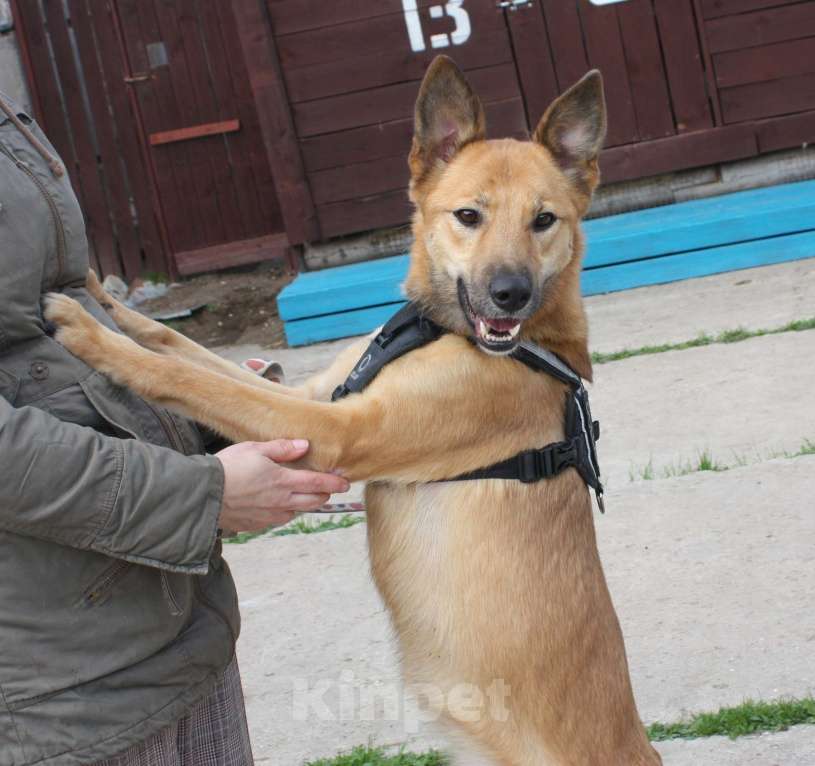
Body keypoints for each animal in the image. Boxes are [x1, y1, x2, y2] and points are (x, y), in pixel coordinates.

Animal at [46, 55, 664, 766]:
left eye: (545, 220)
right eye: (468, 215)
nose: (511, 294)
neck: (444, 330)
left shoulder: (336, 429)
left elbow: (189, 376)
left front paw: (89, 335)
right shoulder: (312, 396)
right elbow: (188, 351)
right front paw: (105, 302)